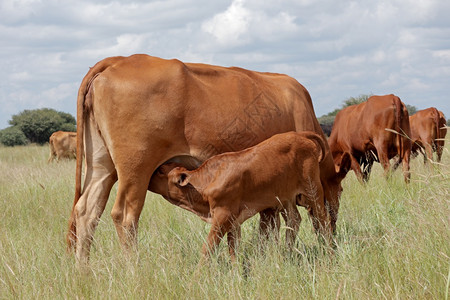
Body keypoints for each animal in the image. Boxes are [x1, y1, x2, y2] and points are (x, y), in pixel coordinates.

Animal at [149, 131, 328, 260]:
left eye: (160, 170)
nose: (148, 178)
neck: (208, 180)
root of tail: (300, 135)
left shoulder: (222, 217)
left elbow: (208, 248)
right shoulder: (233, 223)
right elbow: (233, 251)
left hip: (313, 192)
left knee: (322, 222)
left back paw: (329, 252)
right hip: (286, 199)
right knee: (294, 221)